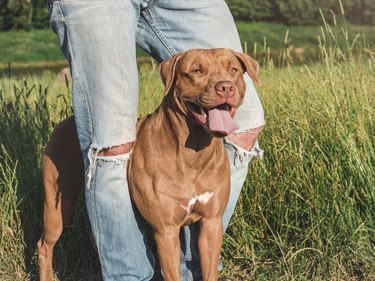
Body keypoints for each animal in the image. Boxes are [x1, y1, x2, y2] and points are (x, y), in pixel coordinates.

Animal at [38, 48, 262, 280]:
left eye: (233, 69)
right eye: (196, 70)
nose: (226, 86)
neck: (194, 151)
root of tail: (64, 123)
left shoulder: (211, 224)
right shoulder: (166, 230)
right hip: (57, 203)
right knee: (45, 245)